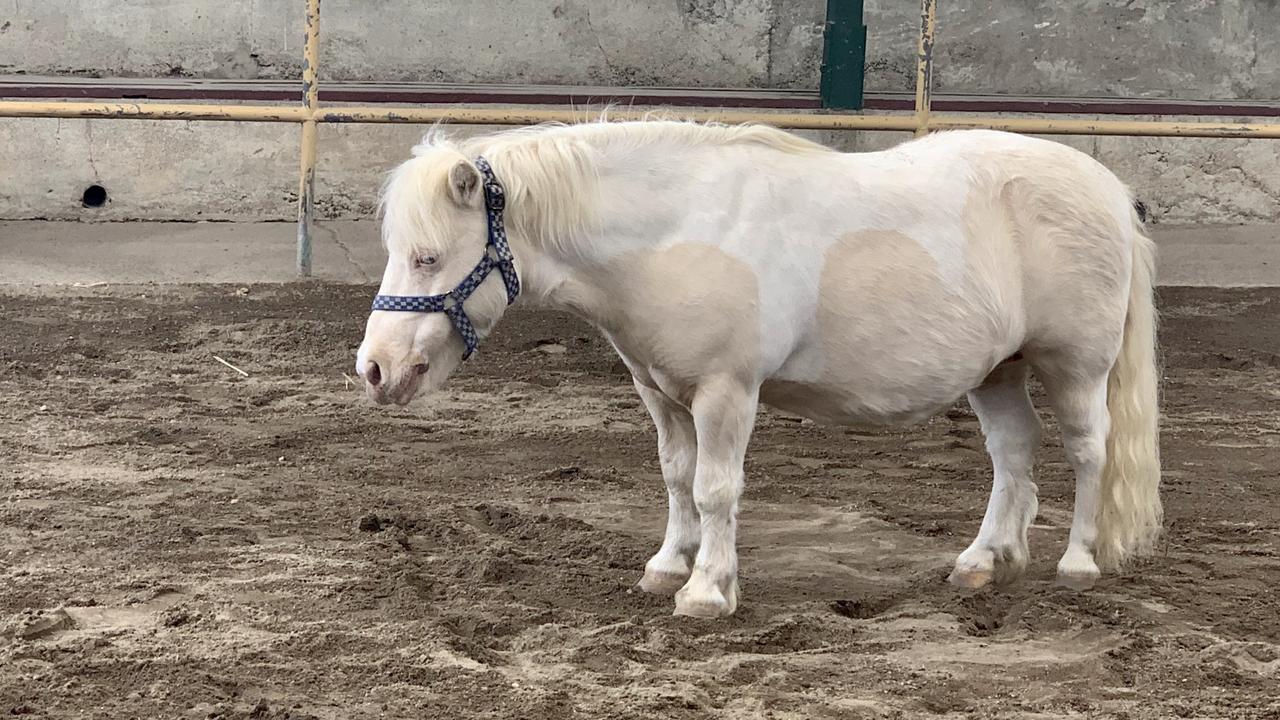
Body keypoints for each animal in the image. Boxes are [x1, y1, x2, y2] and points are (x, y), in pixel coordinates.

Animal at [353, 119, 1162, 617]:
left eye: (428, 256)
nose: (375, 369)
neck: (675, 233)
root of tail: (1108, 190)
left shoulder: (725, 393)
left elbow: (716, 489)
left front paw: (708, 591)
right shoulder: (660, 392)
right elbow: (677, 478)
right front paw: (667, 568)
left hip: (1075, 366)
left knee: (1088, 451)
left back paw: (1078, 562)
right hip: (996, 370)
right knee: (1013, 453)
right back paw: (986, 561)